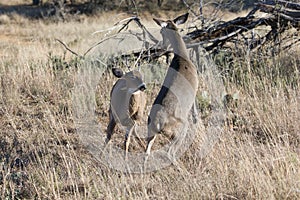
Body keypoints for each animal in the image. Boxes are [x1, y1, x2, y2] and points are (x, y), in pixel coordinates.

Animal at [146, 13, 199, 161]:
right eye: (161, 32)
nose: (163, 46)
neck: (183, 58)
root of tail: (158, 123)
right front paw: (197, 119)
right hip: (180, 130)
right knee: (170, 152)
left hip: (150, 133)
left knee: (147, 152)